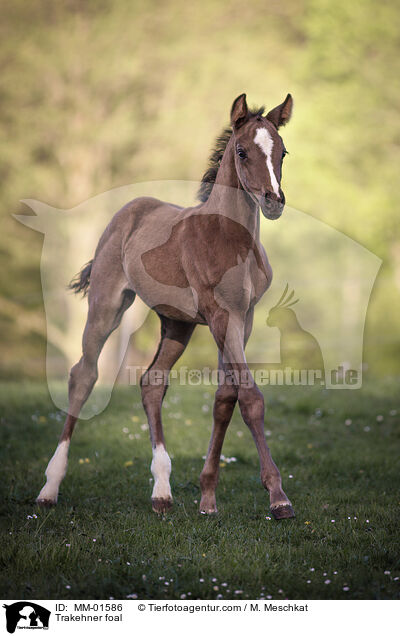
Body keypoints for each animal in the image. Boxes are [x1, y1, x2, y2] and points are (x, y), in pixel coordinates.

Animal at [36, 95, 294, 520]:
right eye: (242, 151)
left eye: (282, 152)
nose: (274, 201)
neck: (228, 237)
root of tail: (130, 209)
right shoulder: (221, 316)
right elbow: (250, 398)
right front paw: (278, 497)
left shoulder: (243, 317)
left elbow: (225, 398)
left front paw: (208, 499)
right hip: (107, 305)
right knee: (83, 376)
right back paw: (49, 487)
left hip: (177, 323)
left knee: (152, 382)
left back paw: (162, 491)